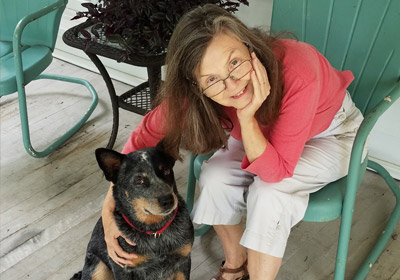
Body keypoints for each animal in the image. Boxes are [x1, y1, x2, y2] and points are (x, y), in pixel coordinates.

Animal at [71, 142, 195, 280]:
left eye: (166, 171)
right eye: (139, 180)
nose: (168, 200)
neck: (155, 233)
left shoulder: (183, 260)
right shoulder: (122, 268)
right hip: (98, 268)